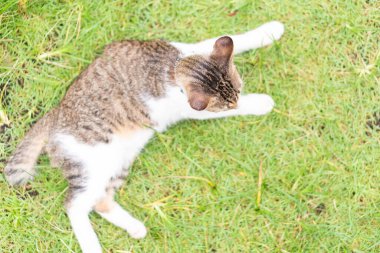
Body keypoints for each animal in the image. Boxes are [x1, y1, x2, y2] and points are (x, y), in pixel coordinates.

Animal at [2, 20, 282, 252]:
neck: (172, 67)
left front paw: (268, 31)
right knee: (74, 205)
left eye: (239, 87)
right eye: (229, 104)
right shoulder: (193, 110)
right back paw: (93, 246)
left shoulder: (194, 48)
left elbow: (230, 38)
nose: (236, 102)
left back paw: (134, 227)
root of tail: (55, 114)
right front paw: (258, 103)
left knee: (100, 202)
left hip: (120, 161)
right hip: (91, 164)